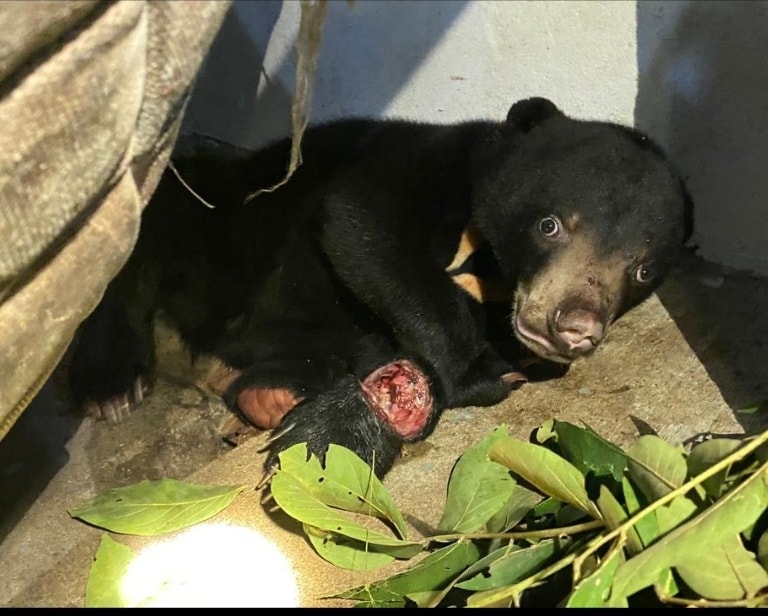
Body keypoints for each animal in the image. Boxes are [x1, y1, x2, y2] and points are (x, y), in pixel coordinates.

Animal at [67, 97, 693, 478]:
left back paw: (271, 395)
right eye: (551, 225)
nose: (573, 327)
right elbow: (361, 220)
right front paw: (471, 371)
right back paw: (112, 387)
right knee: (130, 254)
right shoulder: (426, 162)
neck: (488, 271)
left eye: (642, 270)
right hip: (209, 215)